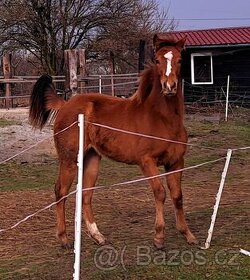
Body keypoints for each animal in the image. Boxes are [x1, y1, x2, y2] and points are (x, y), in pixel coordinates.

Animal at [29, 35, 197, 249]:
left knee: (85, 194)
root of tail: (65, 104)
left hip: (92, 159)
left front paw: (188, 234)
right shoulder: (147, 162)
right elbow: (160, 193)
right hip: (69, 159)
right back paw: (64, 238)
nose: (169, 86)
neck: (162, 119)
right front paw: (159, 237)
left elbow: (178, 196)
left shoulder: (175, 161)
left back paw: (98, 236)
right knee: (61, 191)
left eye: (180, 60)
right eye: (158, 60)